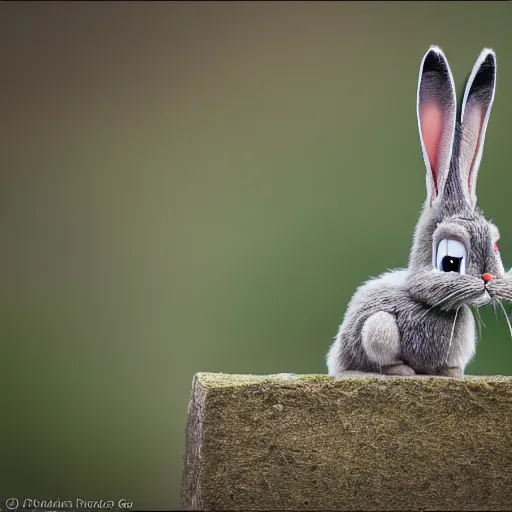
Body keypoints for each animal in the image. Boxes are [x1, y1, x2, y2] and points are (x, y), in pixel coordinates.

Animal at [328, 46, 512, 378]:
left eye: (495, 247)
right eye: (451, 261)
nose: (488, 278)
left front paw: (451, 374)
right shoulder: (379, 326)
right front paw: (403, 370)